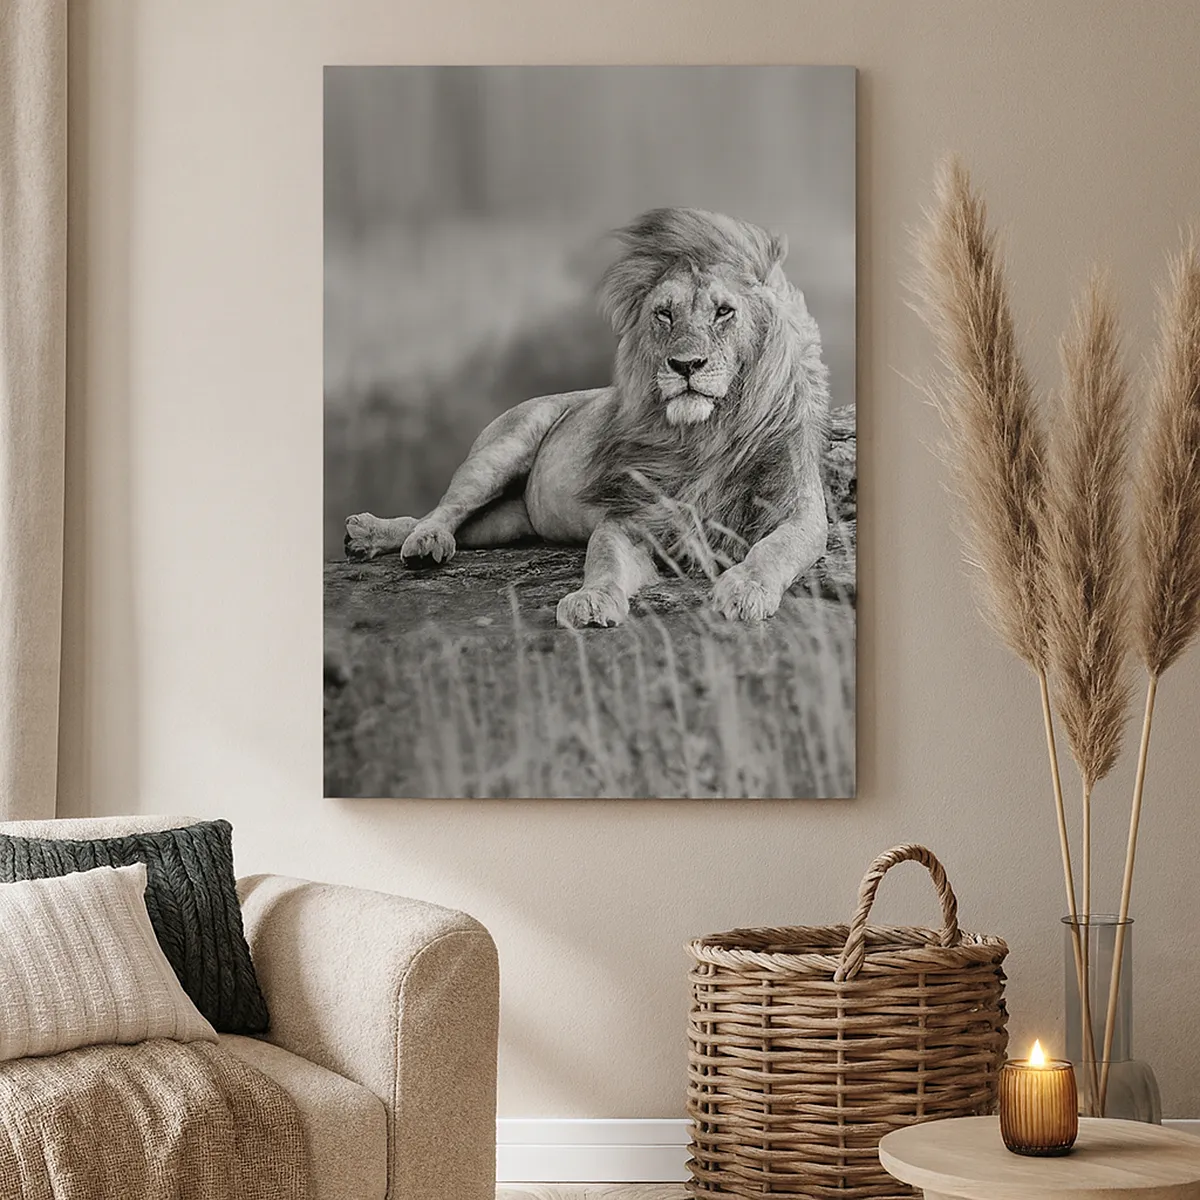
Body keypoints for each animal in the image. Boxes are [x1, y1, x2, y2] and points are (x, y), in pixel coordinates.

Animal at [343, 207, 831, 628]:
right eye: (664, 314)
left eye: (724, 311)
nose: (685, 365)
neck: (705, 434)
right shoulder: (629, 517)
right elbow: (604, 560)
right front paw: (591, 600)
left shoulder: (800, 511)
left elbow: (775, 549)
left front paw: (745, 589)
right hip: (502, 449)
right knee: (444, 510)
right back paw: (413, 541)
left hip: (507, 522)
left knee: (458, 524)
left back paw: (369, 536)